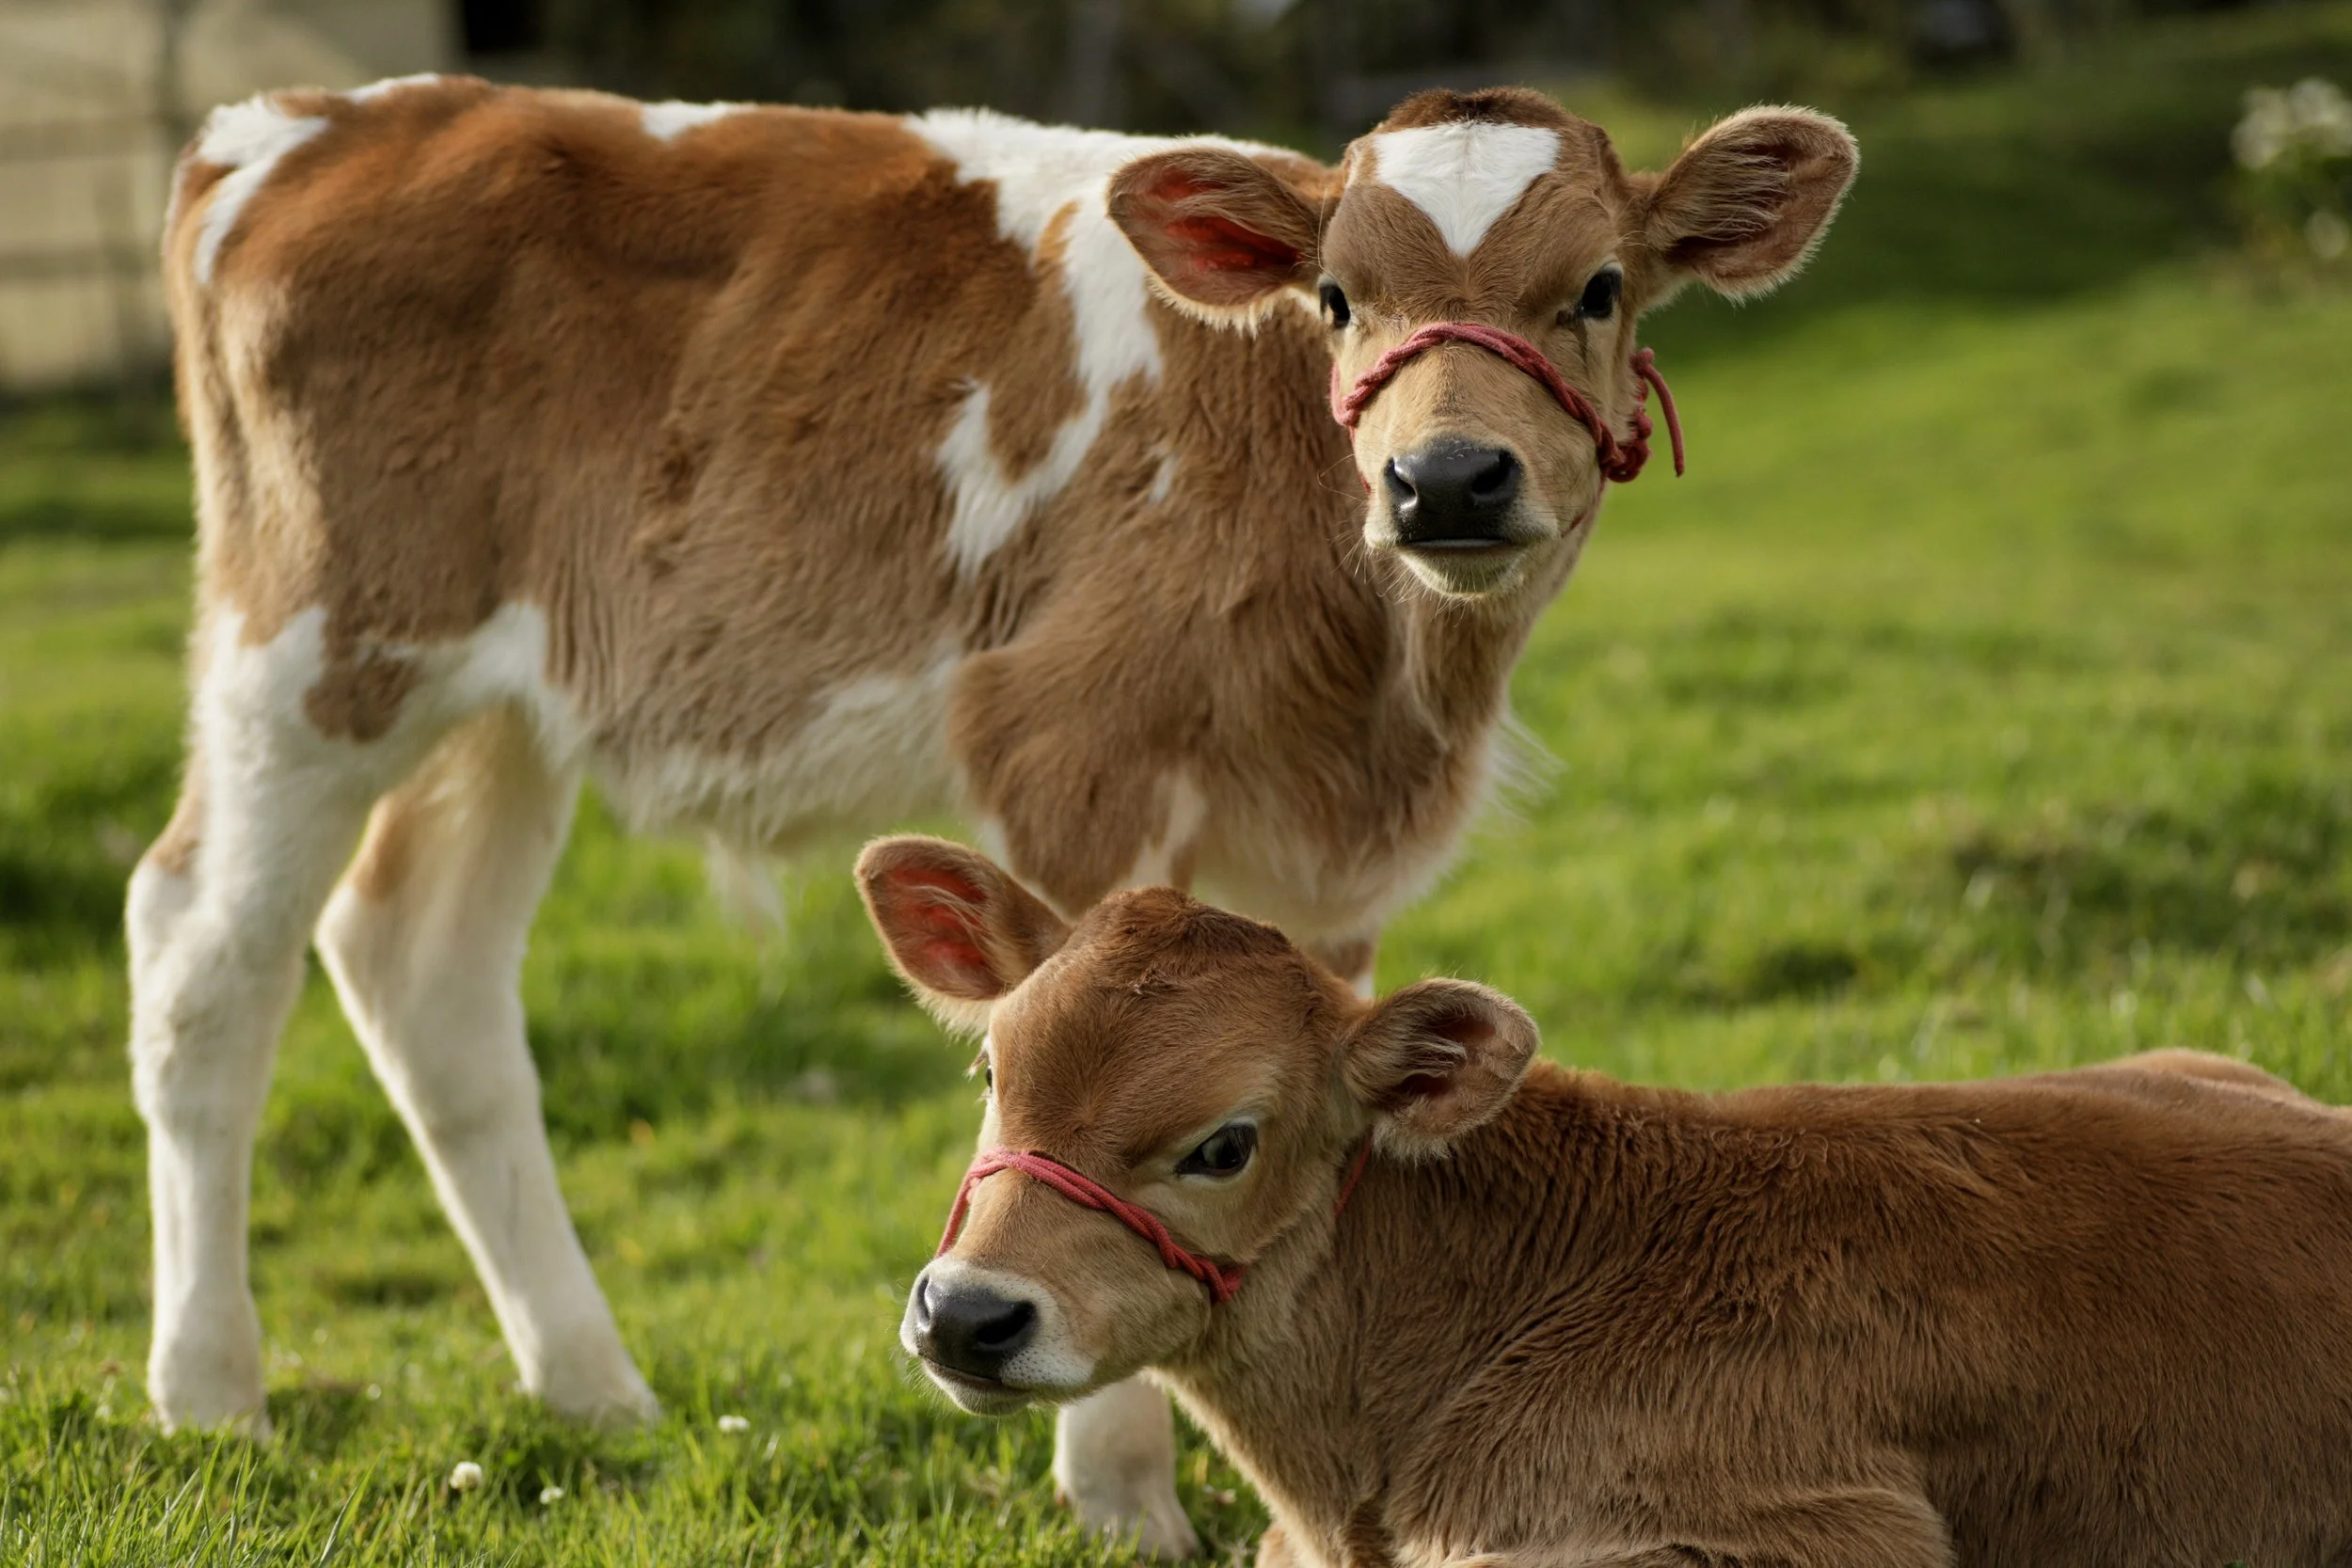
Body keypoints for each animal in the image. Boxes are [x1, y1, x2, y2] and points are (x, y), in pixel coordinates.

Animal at [135, 74, 1855, 1552]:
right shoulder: (1069, 748)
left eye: (1600, 287)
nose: (1445, 478)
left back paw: (594, 1391)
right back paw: (211, 1391)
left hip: (511, 707)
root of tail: (310, 117)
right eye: (1336, 295)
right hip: (321, 654)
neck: (1385, 677)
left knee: (423, 971)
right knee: (204, 957)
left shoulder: (1329, 853)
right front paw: (1117, 1492)